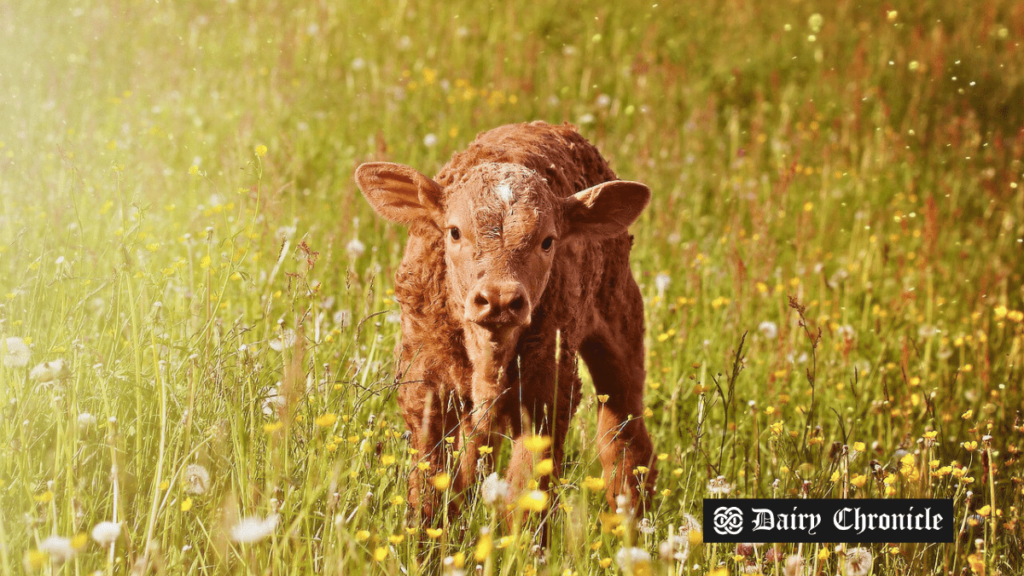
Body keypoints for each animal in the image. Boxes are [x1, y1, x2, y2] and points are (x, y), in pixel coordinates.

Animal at [352, 118, 655, 518]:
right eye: (454, 231)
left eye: (548, 241)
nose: (499, 299)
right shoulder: (425, 384)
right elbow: (432, 485)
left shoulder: (548, 392)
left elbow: (526, 494)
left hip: (621, 325)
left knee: (623, 436)